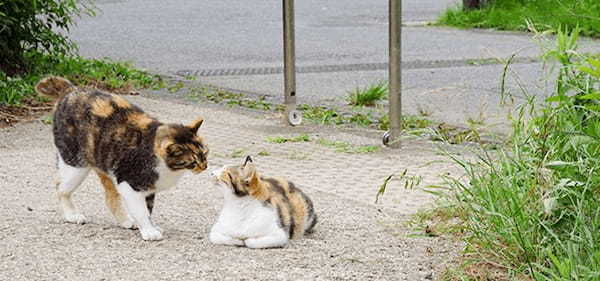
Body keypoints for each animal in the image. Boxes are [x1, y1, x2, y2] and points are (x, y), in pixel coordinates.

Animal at [35, 75, 209, 240]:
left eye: (205, 153)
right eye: (194, 161)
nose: (204, 166)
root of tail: (71, 90)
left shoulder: (148, 187)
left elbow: (148, 209)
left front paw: (150, 226)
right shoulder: (130, 184)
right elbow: (141, 211)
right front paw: (149, 231)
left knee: (110, 197)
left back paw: (126, 220)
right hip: (75, 164)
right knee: (60, 186)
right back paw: (72, 215)